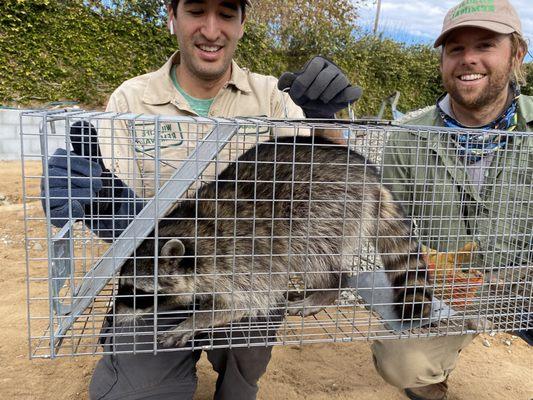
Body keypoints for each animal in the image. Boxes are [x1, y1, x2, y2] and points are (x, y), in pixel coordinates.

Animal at [116, 135, 432, 346]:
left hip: (328, 205)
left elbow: (244, 303)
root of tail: (369, 173)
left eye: (137, 293)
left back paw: (328, 287)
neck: (191, 229)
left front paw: (196, 321)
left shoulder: (241, 257)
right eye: (122, 286)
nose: (114, 317)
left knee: (311, 249)